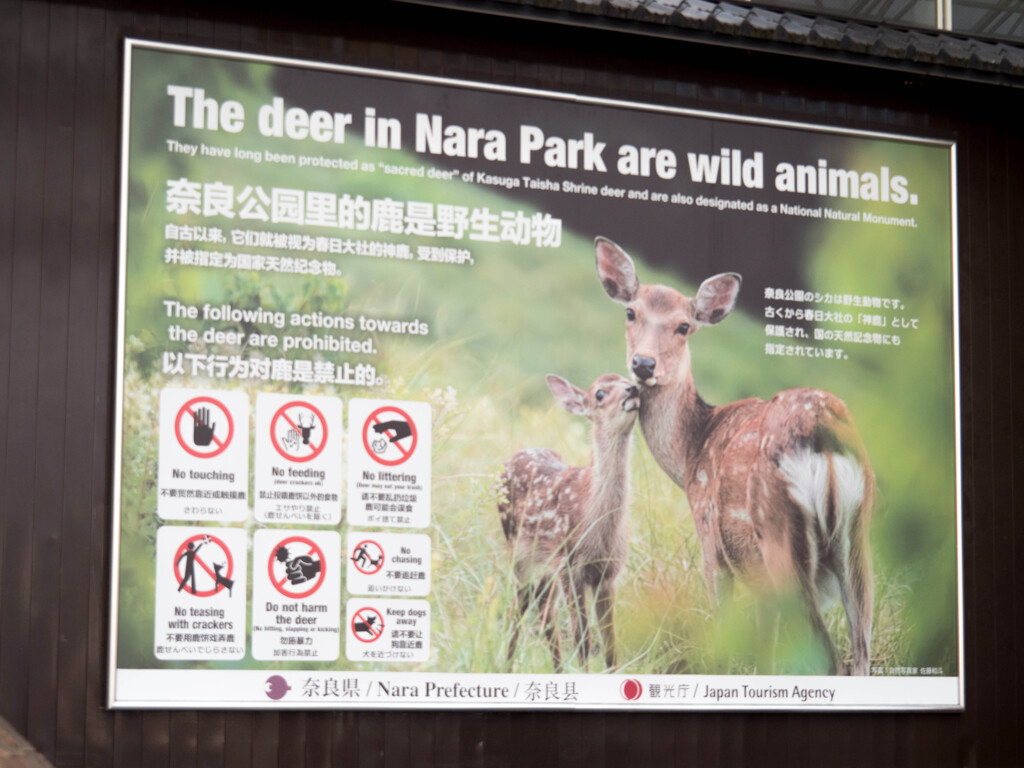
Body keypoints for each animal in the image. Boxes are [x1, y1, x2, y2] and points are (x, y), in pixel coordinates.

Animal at [498, 373, 640, 672]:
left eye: (627, 377)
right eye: (599, 393)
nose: (634, 389)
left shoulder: (607, 573)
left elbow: (610, 645)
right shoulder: (570, 566)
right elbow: (582, 638)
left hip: (546, 567)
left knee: (545, 612)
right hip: (519, 553)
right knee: (517, 608)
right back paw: (506, 665)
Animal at [595, 236, 874, 675]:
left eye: (684, 326)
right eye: (631, 312)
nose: (643, 364)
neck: (690, 454)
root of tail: (822, 434)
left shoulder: (711, 541)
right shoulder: (757, 578)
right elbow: (765, 651)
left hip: (780, 534)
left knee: (829, 657)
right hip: (859, 538)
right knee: (861, 651)